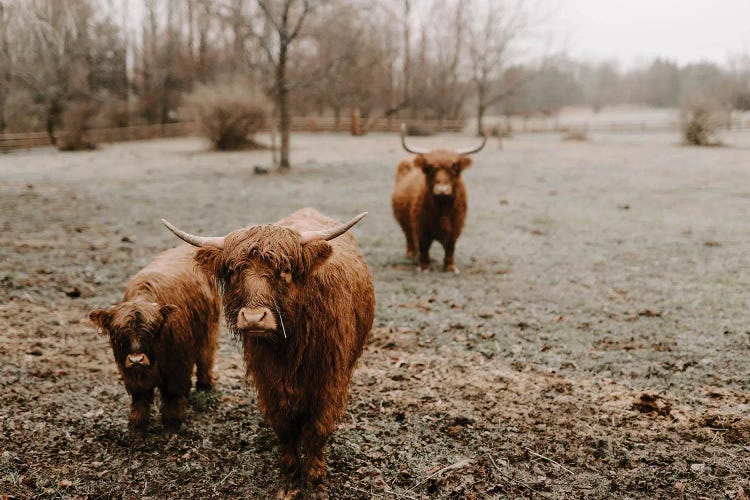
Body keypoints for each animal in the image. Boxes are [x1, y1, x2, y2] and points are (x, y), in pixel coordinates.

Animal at [89, 244, 222, 432]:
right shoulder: (130, 372)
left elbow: (173, 393)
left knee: (205, 356)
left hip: (209, 327)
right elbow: (140, 398)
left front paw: (172, 425)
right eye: (118, 332)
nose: (136, 359)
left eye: (153, 330)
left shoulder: (179, 365)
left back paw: (205, 386)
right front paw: (137, 427)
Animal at [164, 208, 376, 500]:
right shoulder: (269, 382)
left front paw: (315, 482)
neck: (289, 347)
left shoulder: (329, 380)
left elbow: (316, 430)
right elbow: (285, 428)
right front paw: (288, 480)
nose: (254, 318)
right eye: (233, 272)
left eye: (284, 270)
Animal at [390, 124, 490, 274]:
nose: (442, 188)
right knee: (409, 236)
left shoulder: (456, 227)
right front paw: (424, 266)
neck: (442, 208)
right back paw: (412, 254)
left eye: (454, 166)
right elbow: (424, 246)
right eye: (430, 167)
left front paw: (450, 267)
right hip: (403, 221)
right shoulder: (421, 227)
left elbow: (450, 247)